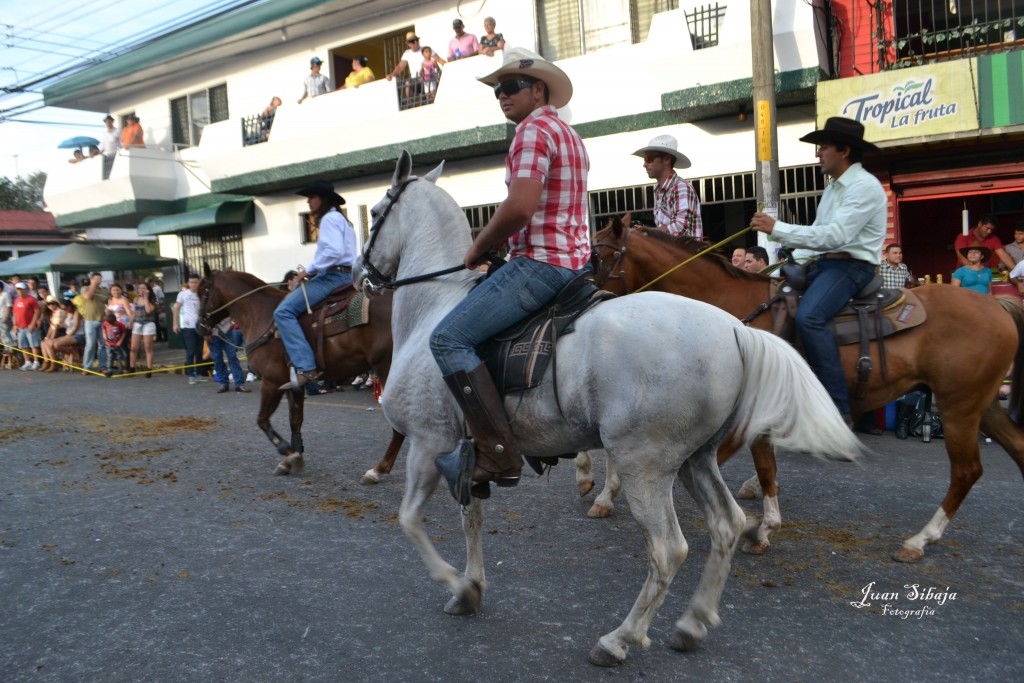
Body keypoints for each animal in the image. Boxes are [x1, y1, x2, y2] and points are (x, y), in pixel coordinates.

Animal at [195, 266, 403, 481]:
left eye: (204, 292)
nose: (199, 326)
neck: (261, 314)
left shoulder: (271, 381)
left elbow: (262, 419)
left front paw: (288, 452)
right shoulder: (293, 384)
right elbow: (295, 420)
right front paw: (291, 459)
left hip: (386, 367)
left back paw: (378, 469)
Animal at [354, 150, 864, 667]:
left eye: (374, 213)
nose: (359, 274)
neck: (434, 306)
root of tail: (737, 330)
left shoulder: (428, 442)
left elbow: (410, 520)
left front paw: (456, 584)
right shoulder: (468, 454)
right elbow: (470, 520)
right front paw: (471, 587)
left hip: (645, 463)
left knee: (668, 549)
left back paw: (620, 638)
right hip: (694, 460)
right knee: (727, 526)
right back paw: (693, 621)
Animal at [585, 216, 1024, 565]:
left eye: (598, 256)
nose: (588, 301)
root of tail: (997, 307)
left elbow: (739, 464)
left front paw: (758, 527)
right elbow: (764, 466)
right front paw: (765, 525)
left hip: (958, 406)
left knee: (966, 470)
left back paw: (919, 540)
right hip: (981, 405)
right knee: (1014, 451)